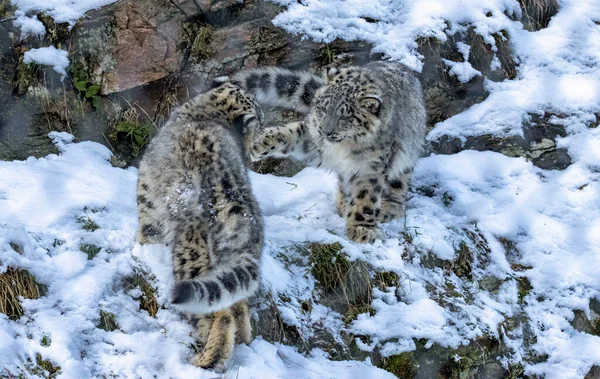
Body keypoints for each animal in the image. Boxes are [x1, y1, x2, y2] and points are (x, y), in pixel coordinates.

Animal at [139, 82, 266, 372]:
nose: (260, 135)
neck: (205, 113)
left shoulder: (147, 199)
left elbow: (147, 230)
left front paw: (141, 249)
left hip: (192, 252)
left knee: (218, 313)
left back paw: (206, 359)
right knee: (236, 302)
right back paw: (242, 338)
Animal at [225, 62, 426, 245]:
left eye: (345, 116)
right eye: (323, 108)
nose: (325, 131)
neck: (345, 146)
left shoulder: (370, 167)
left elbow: (366, 197)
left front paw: (363, 229)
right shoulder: (314, 140)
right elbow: (292, 133)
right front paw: (260, 142)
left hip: (406, 157)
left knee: (399, 181)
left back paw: (389, 207)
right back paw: (344, 204)